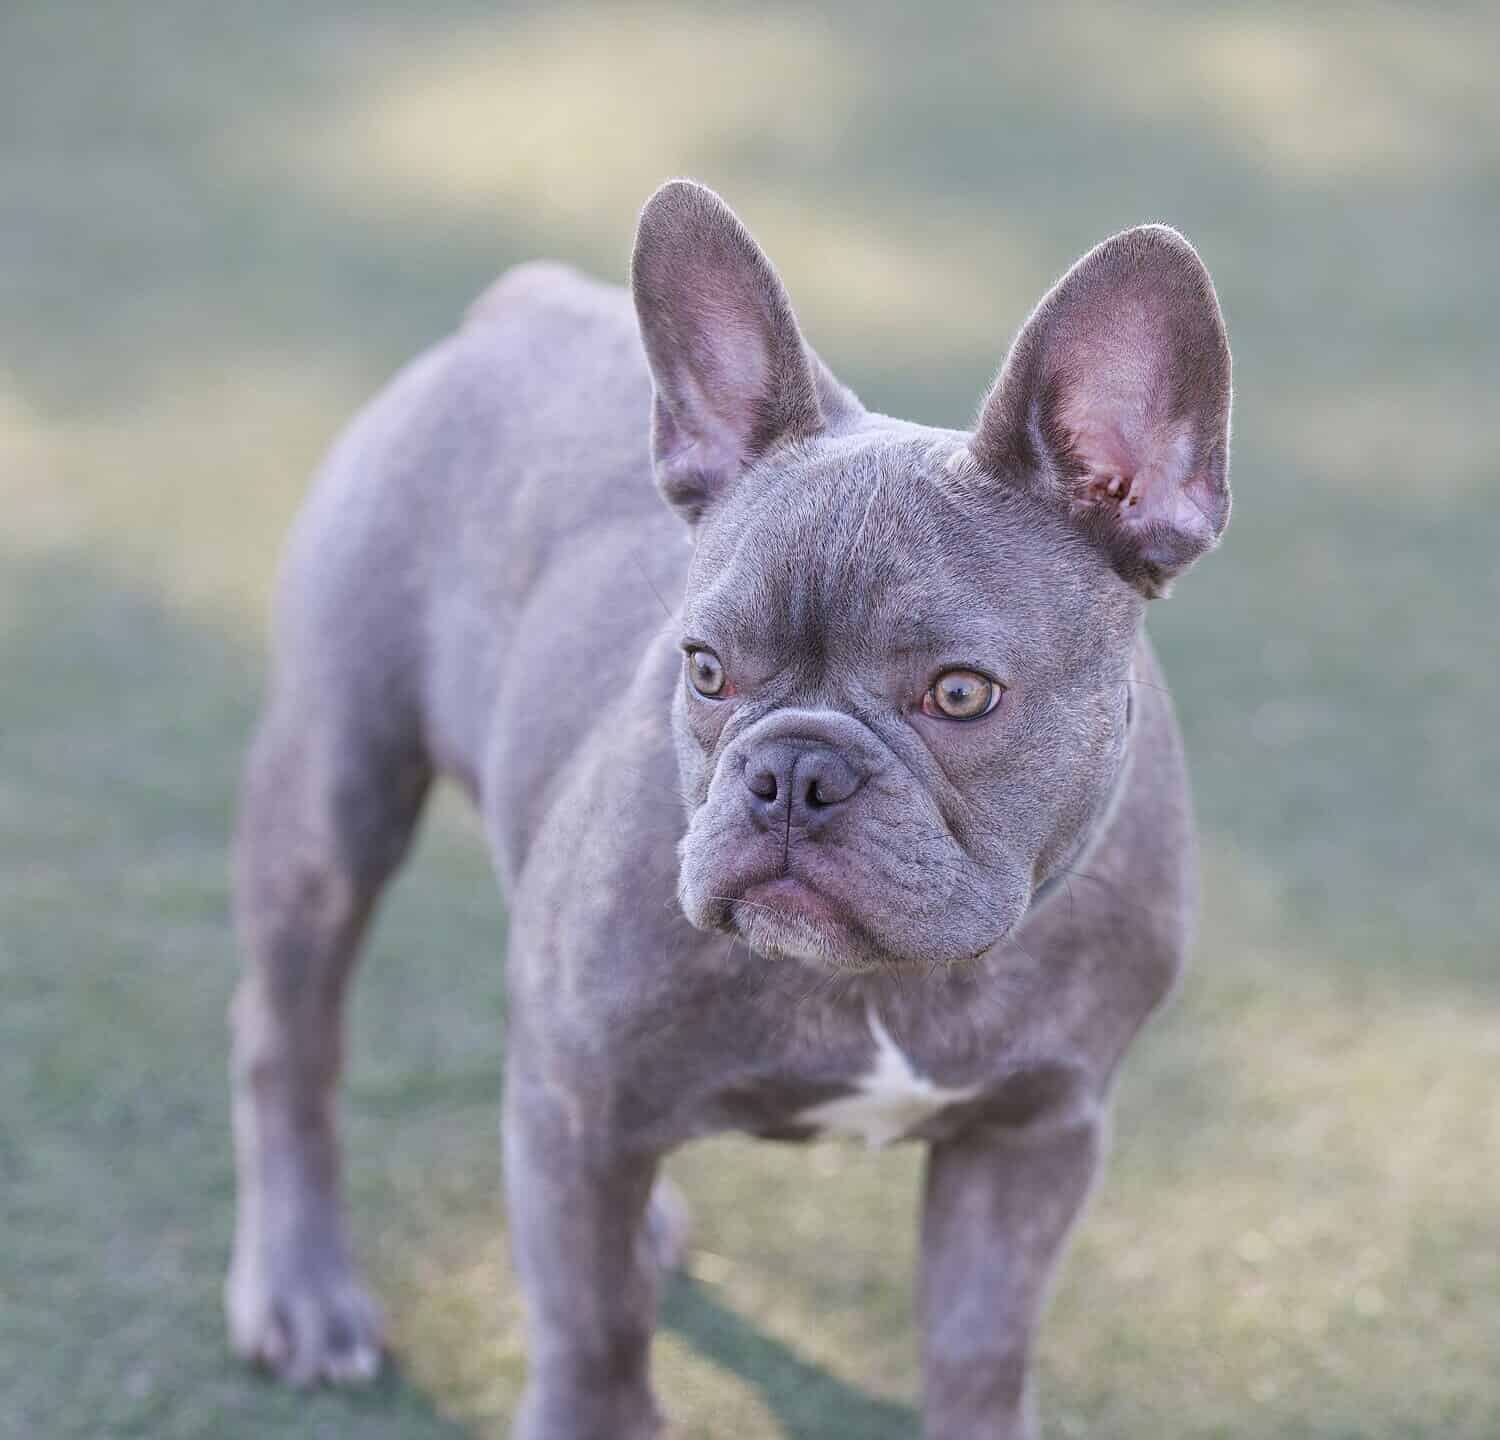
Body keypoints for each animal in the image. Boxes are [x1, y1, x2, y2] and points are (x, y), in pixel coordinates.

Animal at [222, 183, 1230, 1440]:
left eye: (960, 694)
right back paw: (303, 1293)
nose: (792, 772)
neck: (882, 988)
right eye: (705, 669)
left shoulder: (1032, 1137)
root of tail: (521, 305)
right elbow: (593, 1341)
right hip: (333, 797)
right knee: (289, 1043)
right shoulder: (580, 1116)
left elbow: (981, 1350)